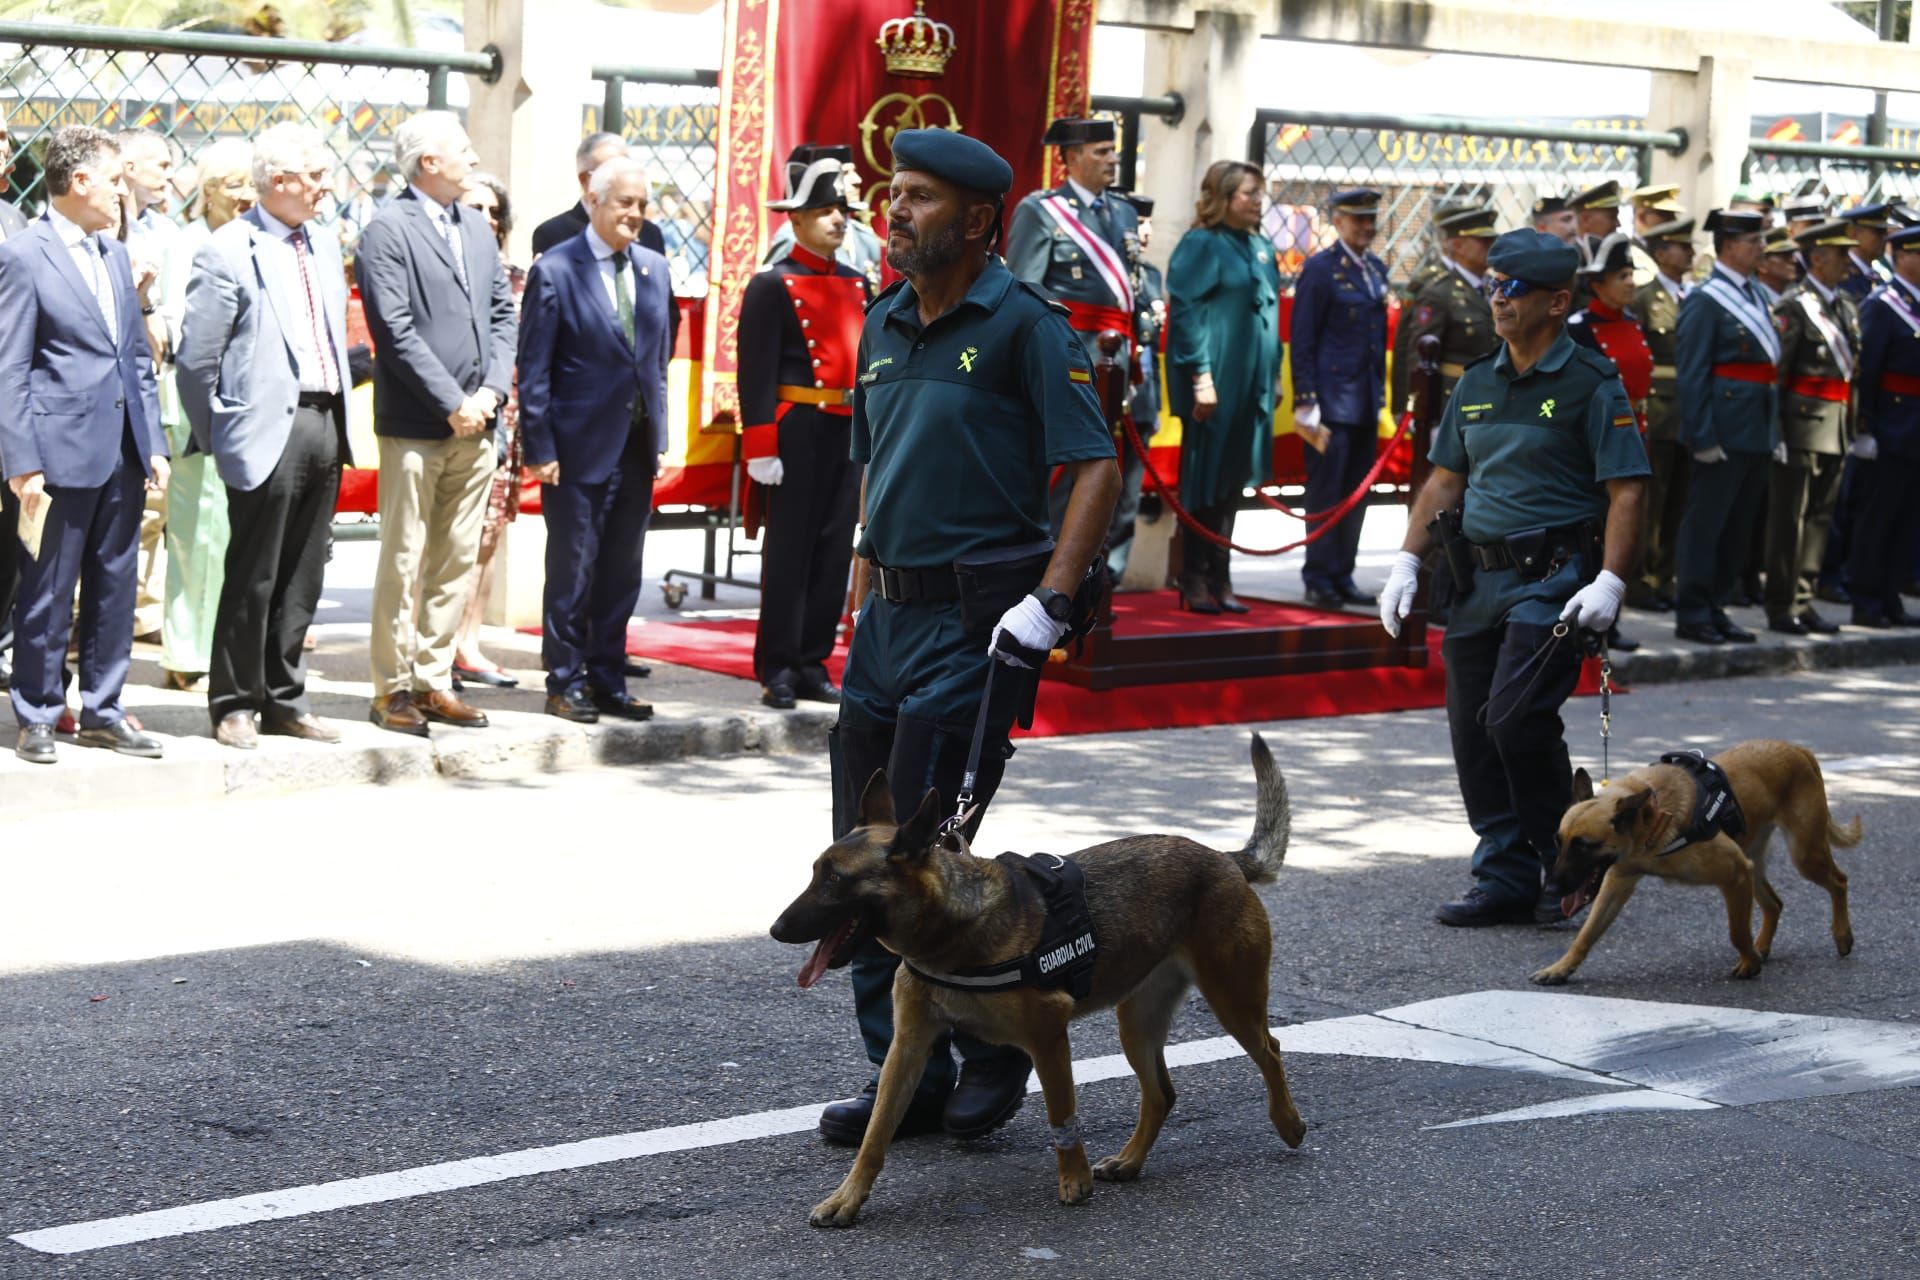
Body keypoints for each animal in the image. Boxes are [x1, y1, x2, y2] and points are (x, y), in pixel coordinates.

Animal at [768, 736, 1305, 1228]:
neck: (952, 930)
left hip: (1231, 999)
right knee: (1162, 1094)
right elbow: (876, 1134)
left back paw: (1288, 1123)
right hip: (1137, 1024)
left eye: (835, 880)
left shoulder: (1049, 1037)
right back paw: (1130, 1161)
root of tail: (1222, 857)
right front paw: (847, 1197)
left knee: (1271, 1049)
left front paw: (1074, 1181)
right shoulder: (908, 1047)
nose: (774, 929)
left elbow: (1061, 1113)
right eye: (815, 872)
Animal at [1528, 736, 1858, 990]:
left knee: (1839, 881)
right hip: (1754, 861)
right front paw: (1560, 968)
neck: (1653, 819)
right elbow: (1586, 934)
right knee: (1775, 903)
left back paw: (1841, 936)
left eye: (1584, 847)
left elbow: (1737, 932)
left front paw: (1749, 963)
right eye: (1558, 842)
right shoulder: (1617, 882)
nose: (1551, 889)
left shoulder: (1735, 874)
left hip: (1803, 855)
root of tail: (1796, 748)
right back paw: (1763, 946)